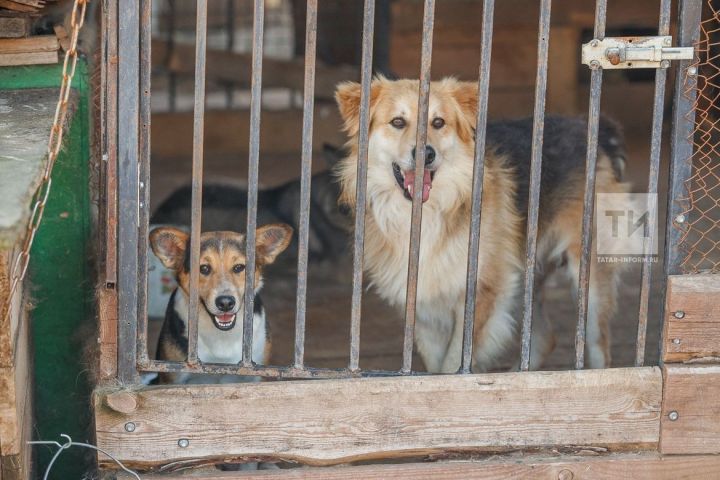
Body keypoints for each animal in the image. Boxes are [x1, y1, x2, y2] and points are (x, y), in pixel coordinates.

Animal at [149, 223, 292, 384]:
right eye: (204, 268)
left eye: (239, 267)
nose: (225, 303)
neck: (223, 334)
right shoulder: (171, 377)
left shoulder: (257, 374)